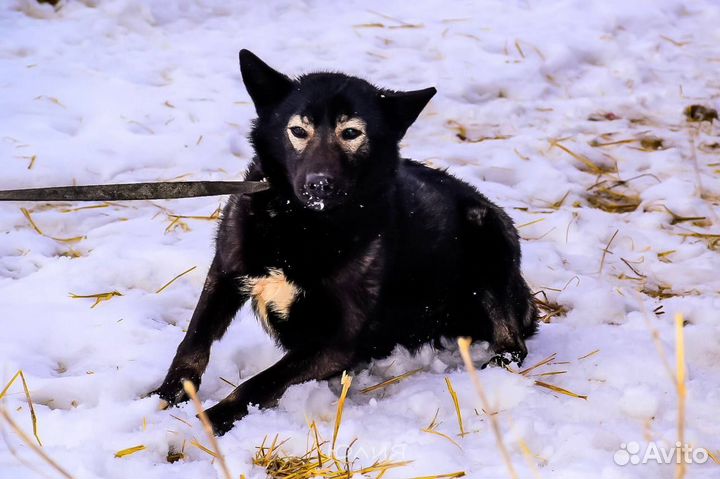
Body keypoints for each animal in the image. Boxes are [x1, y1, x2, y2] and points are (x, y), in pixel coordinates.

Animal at [150, 48, 536, 436]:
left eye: (351, 133)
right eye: (298, 130)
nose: (319, 185)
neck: (300, 223)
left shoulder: (337, 341)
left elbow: (261, 381)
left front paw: (215, 417)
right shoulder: (226, 273)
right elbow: (194, 340)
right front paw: (166, 395)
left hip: (487, 235)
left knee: (515, 341)